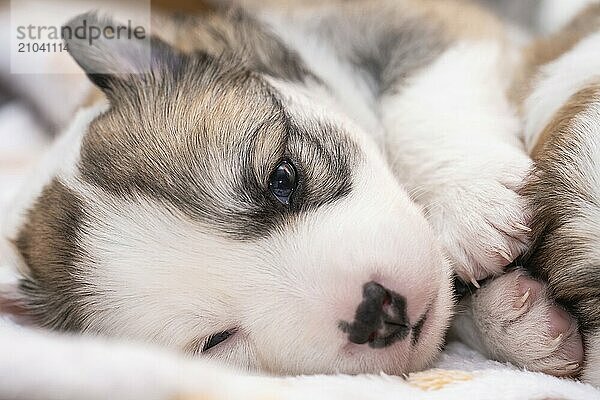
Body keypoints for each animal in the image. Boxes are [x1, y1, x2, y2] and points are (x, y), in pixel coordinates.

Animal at [0, 0, 572, 378]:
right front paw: (516, 321)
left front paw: (469, 200)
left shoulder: (411, 21)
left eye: (282, 179)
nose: (375, 313)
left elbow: (421, 86)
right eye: (216, 340)